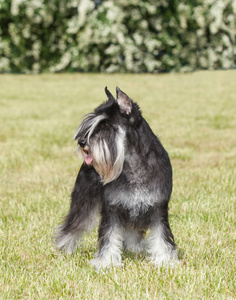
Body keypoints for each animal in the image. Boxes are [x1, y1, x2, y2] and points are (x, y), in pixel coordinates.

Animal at [54, 86, 178, 270]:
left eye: (106, 124)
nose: (82, 142)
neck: (132, 164)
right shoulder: (111, 209)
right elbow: (109, 237)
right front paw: (107, 263)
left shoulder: (158, 208)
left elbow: (162, 237)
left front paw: (165, 261)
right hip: (83, 201)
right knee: (73, 224)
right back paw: (65, 248)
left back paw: (134, 248)